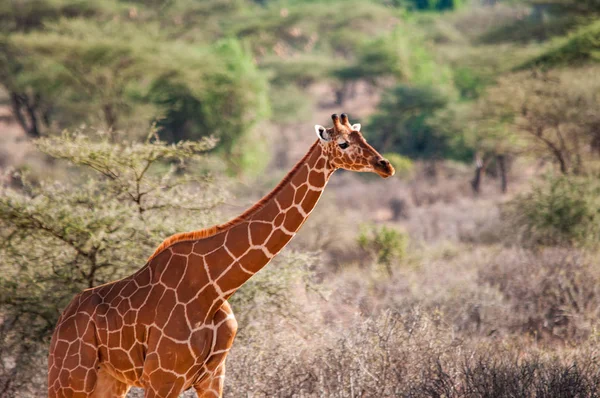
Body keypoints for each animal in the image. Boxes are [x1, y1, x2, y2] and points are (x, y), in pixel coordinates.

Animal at [47, 113, 394, 396]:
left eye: (364, 137)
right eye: (344, 143)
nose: (385, 166)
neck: (215, 286)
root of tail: (61, 321)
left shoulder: (212, 378)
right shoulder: (163, 377)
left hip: (110, 382)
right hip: (69, 380)